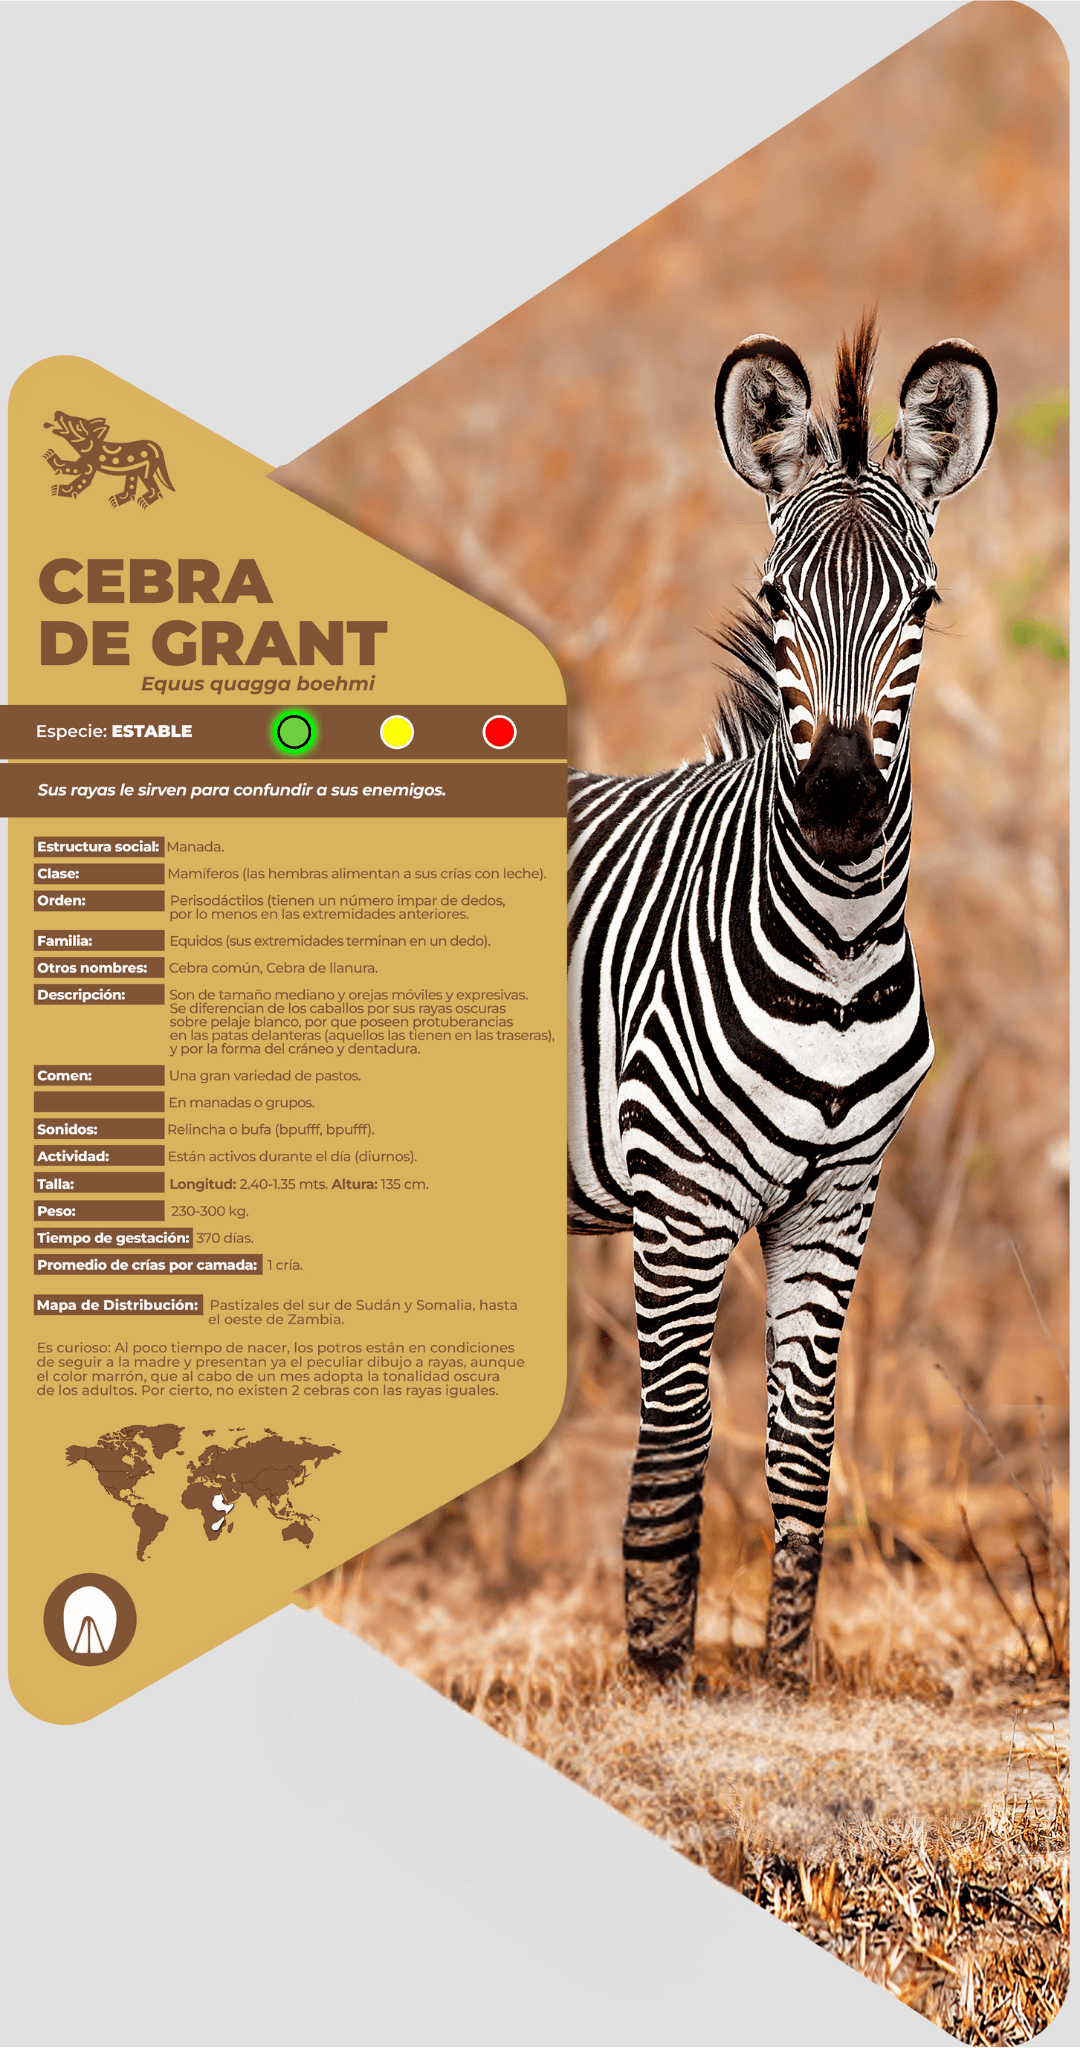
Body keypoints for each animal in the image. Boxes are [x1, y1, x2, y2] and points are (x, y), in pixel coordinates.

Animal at [567, 316, 996, 1689]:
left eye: (921, 604)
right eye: (775, 603)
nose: (846, 801)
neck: (843, 954)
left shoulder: (840, 1193)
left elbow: (803, 1434)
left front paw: (789, 1673)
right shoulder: (681, 1197)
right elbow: (677, 1427)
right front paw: (660, 1670)